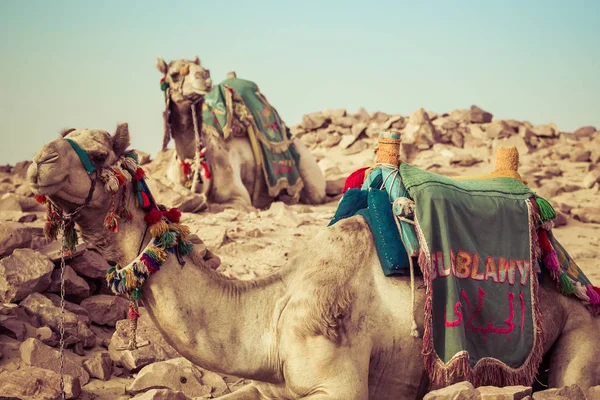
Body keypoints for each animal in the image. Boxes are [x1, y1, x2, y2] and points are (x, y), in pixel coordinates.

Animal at [152, 57, 326, 211]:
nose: (204, 76)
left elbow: (214, 206)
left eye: (204, 69)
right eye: (174, 74)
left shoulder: (238, 197)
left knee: (313, 192)